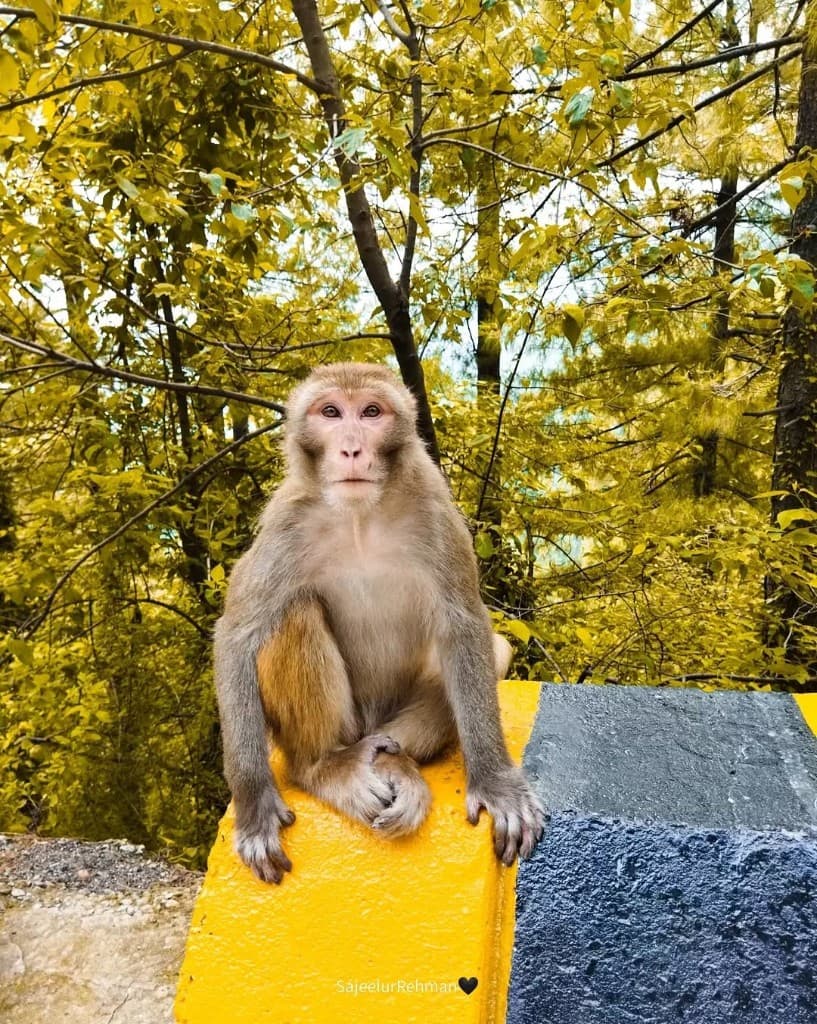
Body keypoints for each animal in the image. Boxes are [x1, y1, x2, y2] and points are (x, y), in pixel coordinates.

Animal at [213, 362, 545, 883]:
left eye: (371, 412)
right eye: (331, 412)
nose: (351, 447)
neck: (359, 519)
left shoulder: (435, 511)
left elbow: (464, 626)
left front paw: (494, 781)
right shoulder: (286, 522)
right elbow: (237, 637)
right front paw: (254, 808)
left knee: (492, 650)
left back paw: (395, 760)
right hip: (330, 726)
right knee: (294, 612)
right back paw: (324, 768)